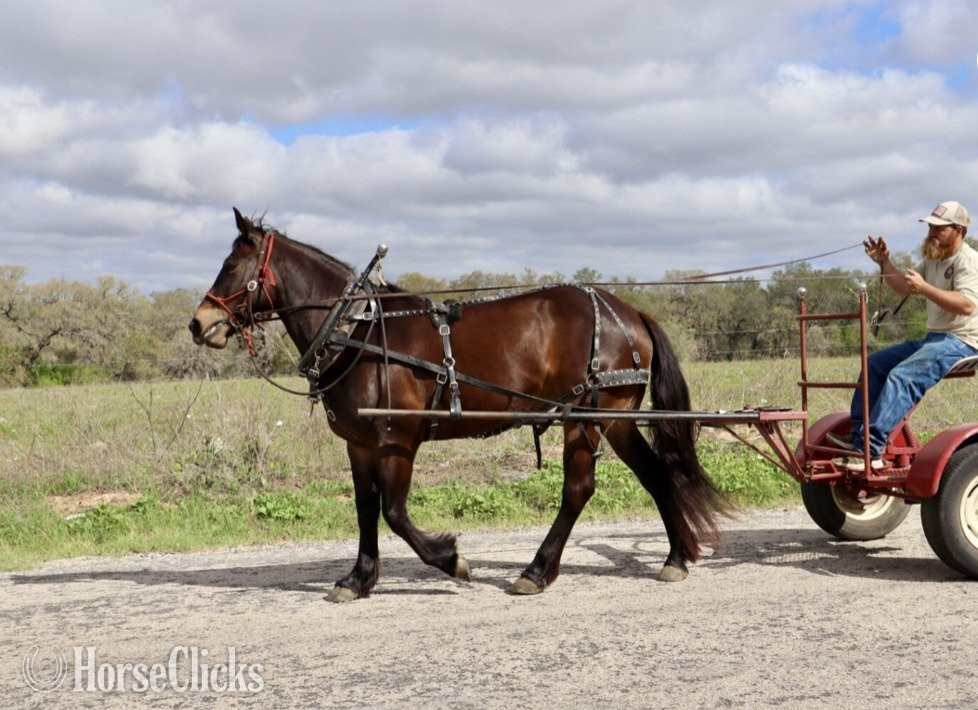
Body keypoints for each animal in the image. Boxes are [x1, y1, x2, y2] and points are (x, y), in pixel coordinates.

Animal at [189, 208, 730, 602]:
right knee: (655, 474)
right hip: (612, 419)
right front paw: (359, 579)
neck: (358, 331)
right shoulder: (359, 445)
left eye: (231, 265)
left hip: (589, 416)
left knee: (579, 489)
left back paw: (538, 570)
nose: (199, 323)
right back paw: (674, 557)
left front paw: (451, 559)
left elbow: (394, 512)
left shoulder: (396, 440)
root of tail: (629, 311)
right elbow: (365, 510)